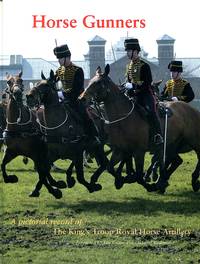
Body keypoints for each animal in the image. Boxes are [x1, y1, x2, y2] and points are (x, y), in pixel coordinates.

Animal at [82, 64, 200, 192]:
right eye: (90, 81)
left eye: (98, 82)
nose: (82, 98)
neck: (124, 118)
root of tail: (193, 110)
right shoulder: (119, 150)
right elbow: (110, 167)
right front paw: (120, 180)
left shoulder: (139, 152)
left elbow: (138, 175)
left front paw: (145, 183)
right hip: (171, 146)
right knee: (176, 161)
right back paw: (163, 181)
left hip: (193, 142)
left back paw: (191, 180)